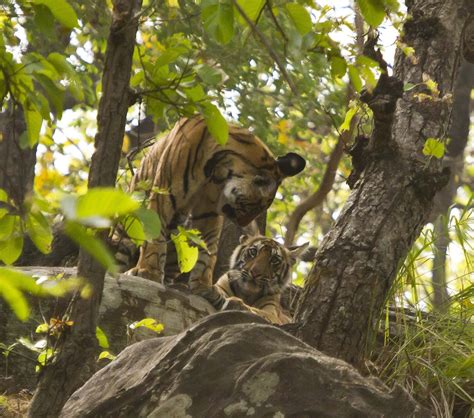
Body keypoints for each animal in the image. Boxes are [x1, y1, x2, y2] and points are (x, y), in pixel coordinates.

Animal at [125, 116, 308, 296]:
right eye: (254, 207)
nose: (243, 224)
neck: (217, 168)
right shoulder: (164, 196)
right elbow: (155, 236)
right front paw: (148, 272)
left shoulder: (209, 211)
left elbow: (208, 248)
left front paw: (203, 286)